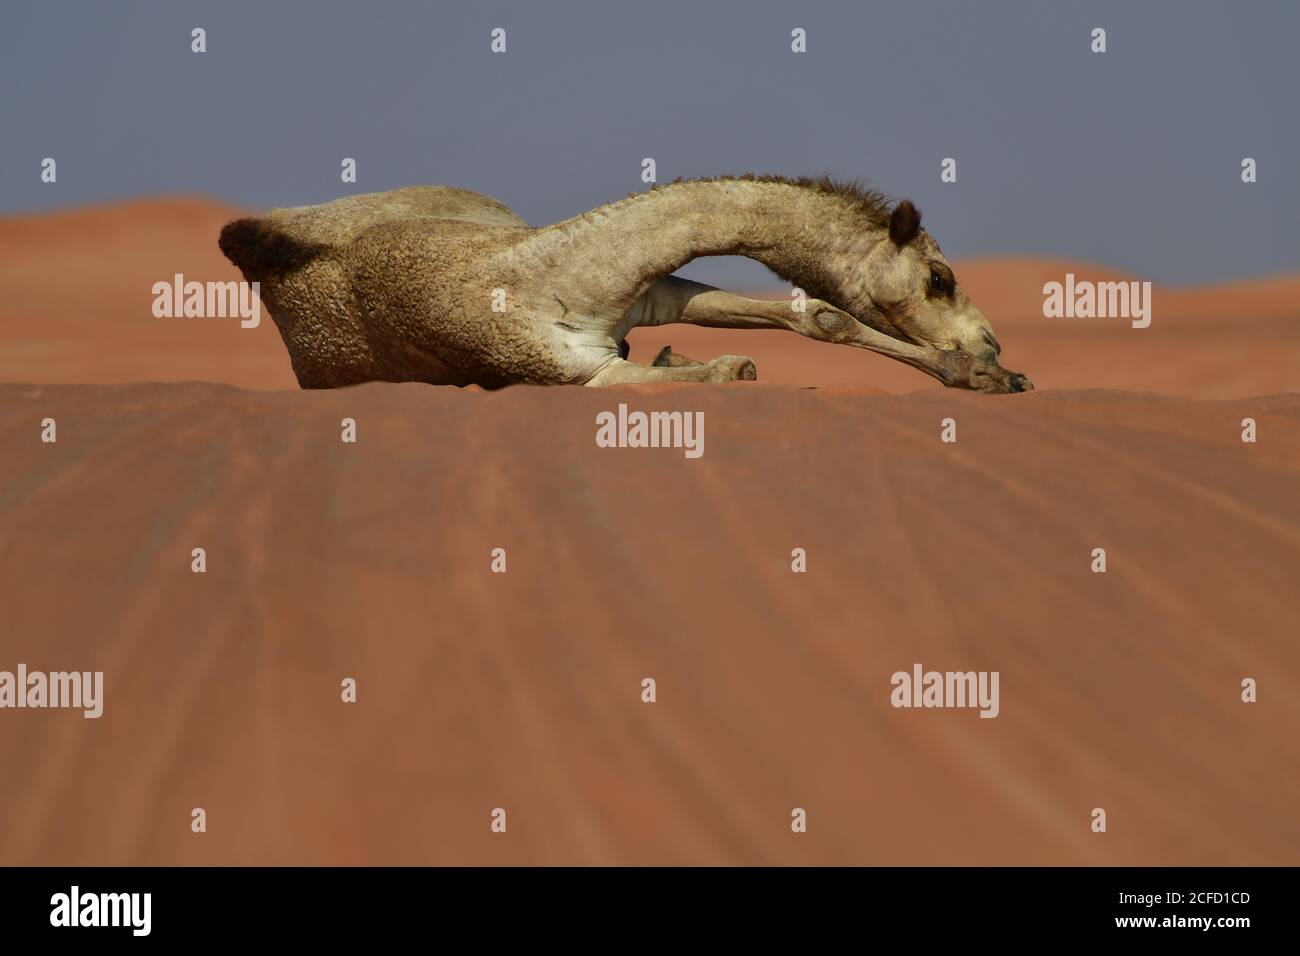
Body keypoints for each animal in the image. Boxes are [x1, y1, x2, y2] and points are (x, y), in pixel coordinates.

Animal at [220, 178, 1034, 390]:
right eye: (939, 276)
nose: (992, 341)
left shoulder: (650, 293)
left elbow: (820, 317)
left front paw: (986, 378)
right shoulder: (579, 373)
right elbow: (726, 372)